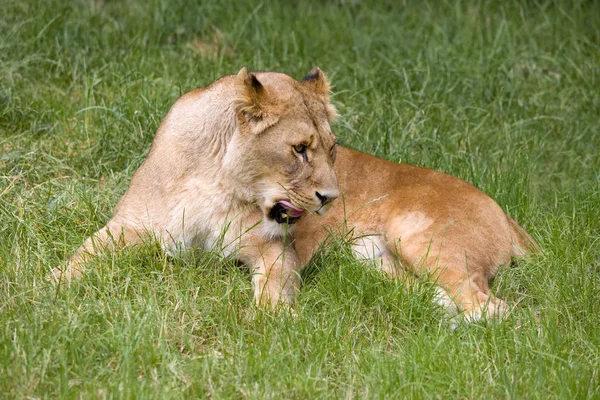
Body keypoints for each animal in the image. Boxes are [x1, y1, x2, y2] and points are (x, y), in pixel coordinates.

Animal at [52, 67, 540, 320]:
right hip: (376, 260)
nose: (332, 198)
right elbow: (79, 257)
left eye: (332, 148)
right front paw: (47, 291)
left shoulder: (274, 249)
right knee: (436, 295)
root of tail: (503, 210)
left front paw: (271, 324)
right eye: (300, 150)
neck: (216, 183)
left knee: (493, 307)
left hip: (418, 235)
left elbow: (272, 287)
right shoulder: (128, 227)